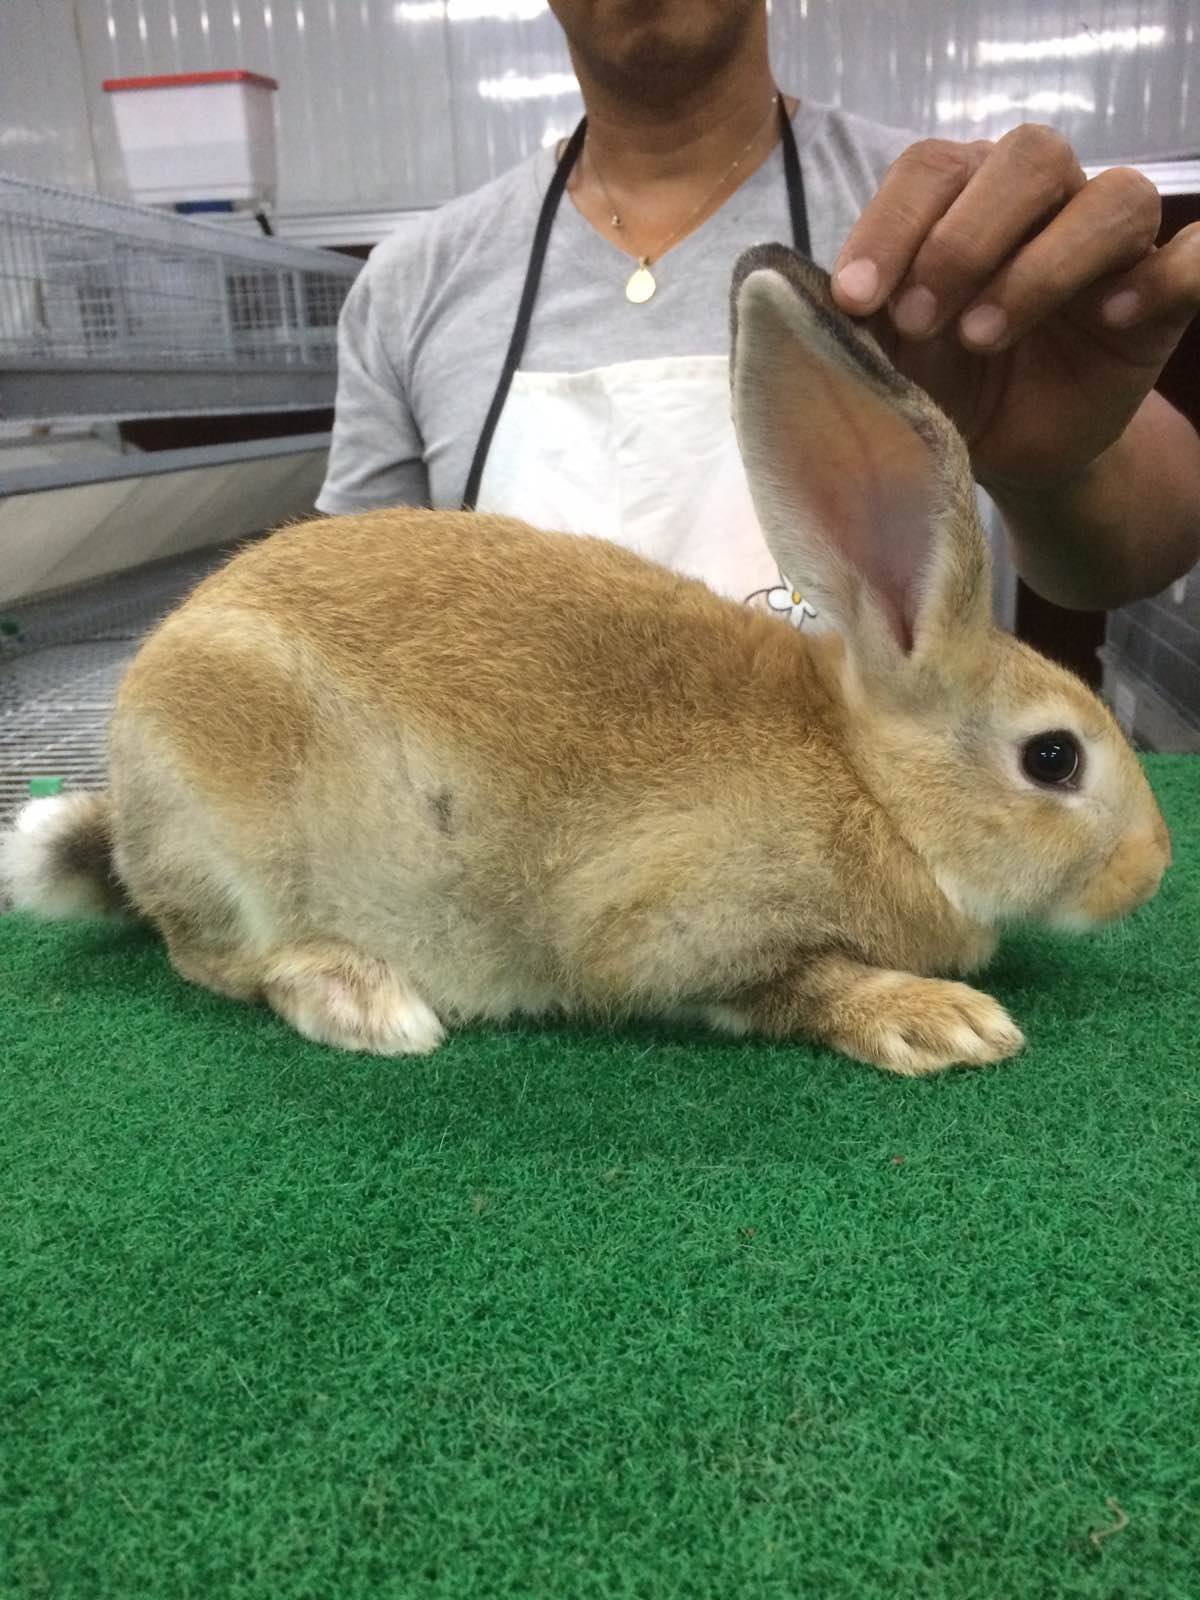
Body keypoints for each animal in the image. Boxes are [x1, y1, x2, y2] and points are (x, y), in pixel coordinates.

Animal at [0, 244, 1170, 1076]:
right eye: (1055, 759)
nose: (1153, 868)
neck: (872, 786)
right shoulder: (673, 928)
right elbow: (794, 983)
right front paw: (944, 1021)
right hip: (229, 839)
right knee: (212, 958)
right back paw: (363, 1000)